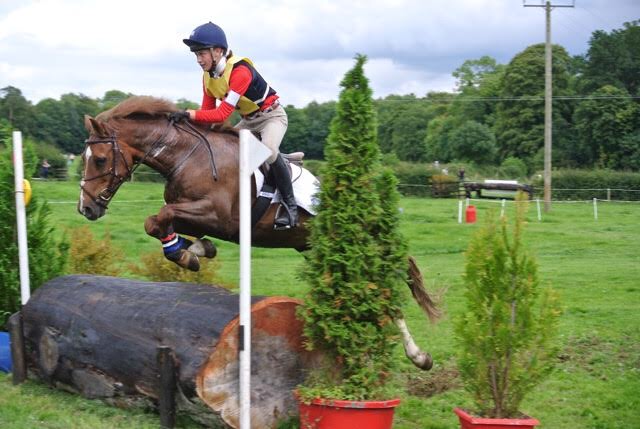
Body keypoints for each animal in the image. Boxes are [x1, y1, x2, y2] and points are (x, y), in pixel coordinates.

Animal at [75, 96, 436, 368]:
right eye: (85, 157)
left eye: (101, 159)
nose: (86, 209)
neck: (187, 157)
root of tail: (365, 200)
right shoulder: (193, 214)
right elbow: (157, 223)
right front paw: (194, 251)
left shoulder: (219, 216)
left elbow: (160, 217)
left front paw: (189, 254)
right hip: (314, 247)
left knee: (386, 291)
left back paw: (418, 356)